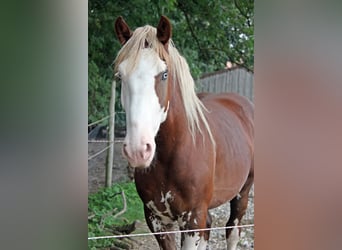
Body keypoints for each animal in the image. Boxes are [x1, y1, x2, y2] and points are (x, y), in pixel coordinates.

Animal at [113, 16, 252, 250]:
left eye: (164, 74)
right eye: (120, 76)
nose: (137, 150)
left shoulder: (192, 219)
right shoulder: (157, 220)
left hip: (243, 192)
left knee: (233, 231)